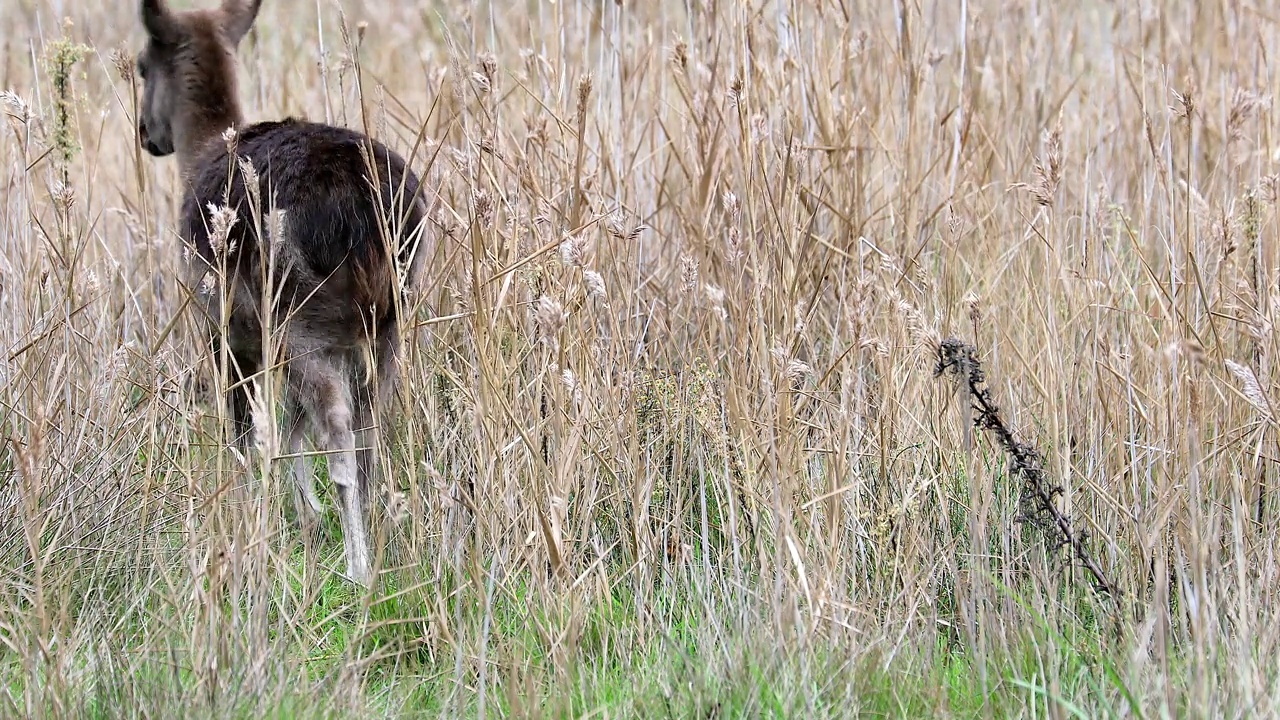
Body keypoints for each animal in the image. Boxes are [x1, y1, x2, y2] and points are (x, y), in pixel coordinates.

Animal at [134, 0, 427, 586]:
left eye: (140, 67)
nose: (145, 134)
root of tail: (372, 221)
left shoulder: (221, 324)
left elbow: (246, 432)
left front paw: (251, 517)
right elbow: (289, 430)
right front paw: (306, 518)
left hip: (299, 316)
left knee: (338, 432)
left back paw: (359, 568)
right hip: (387, 323)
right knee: (369, 432)